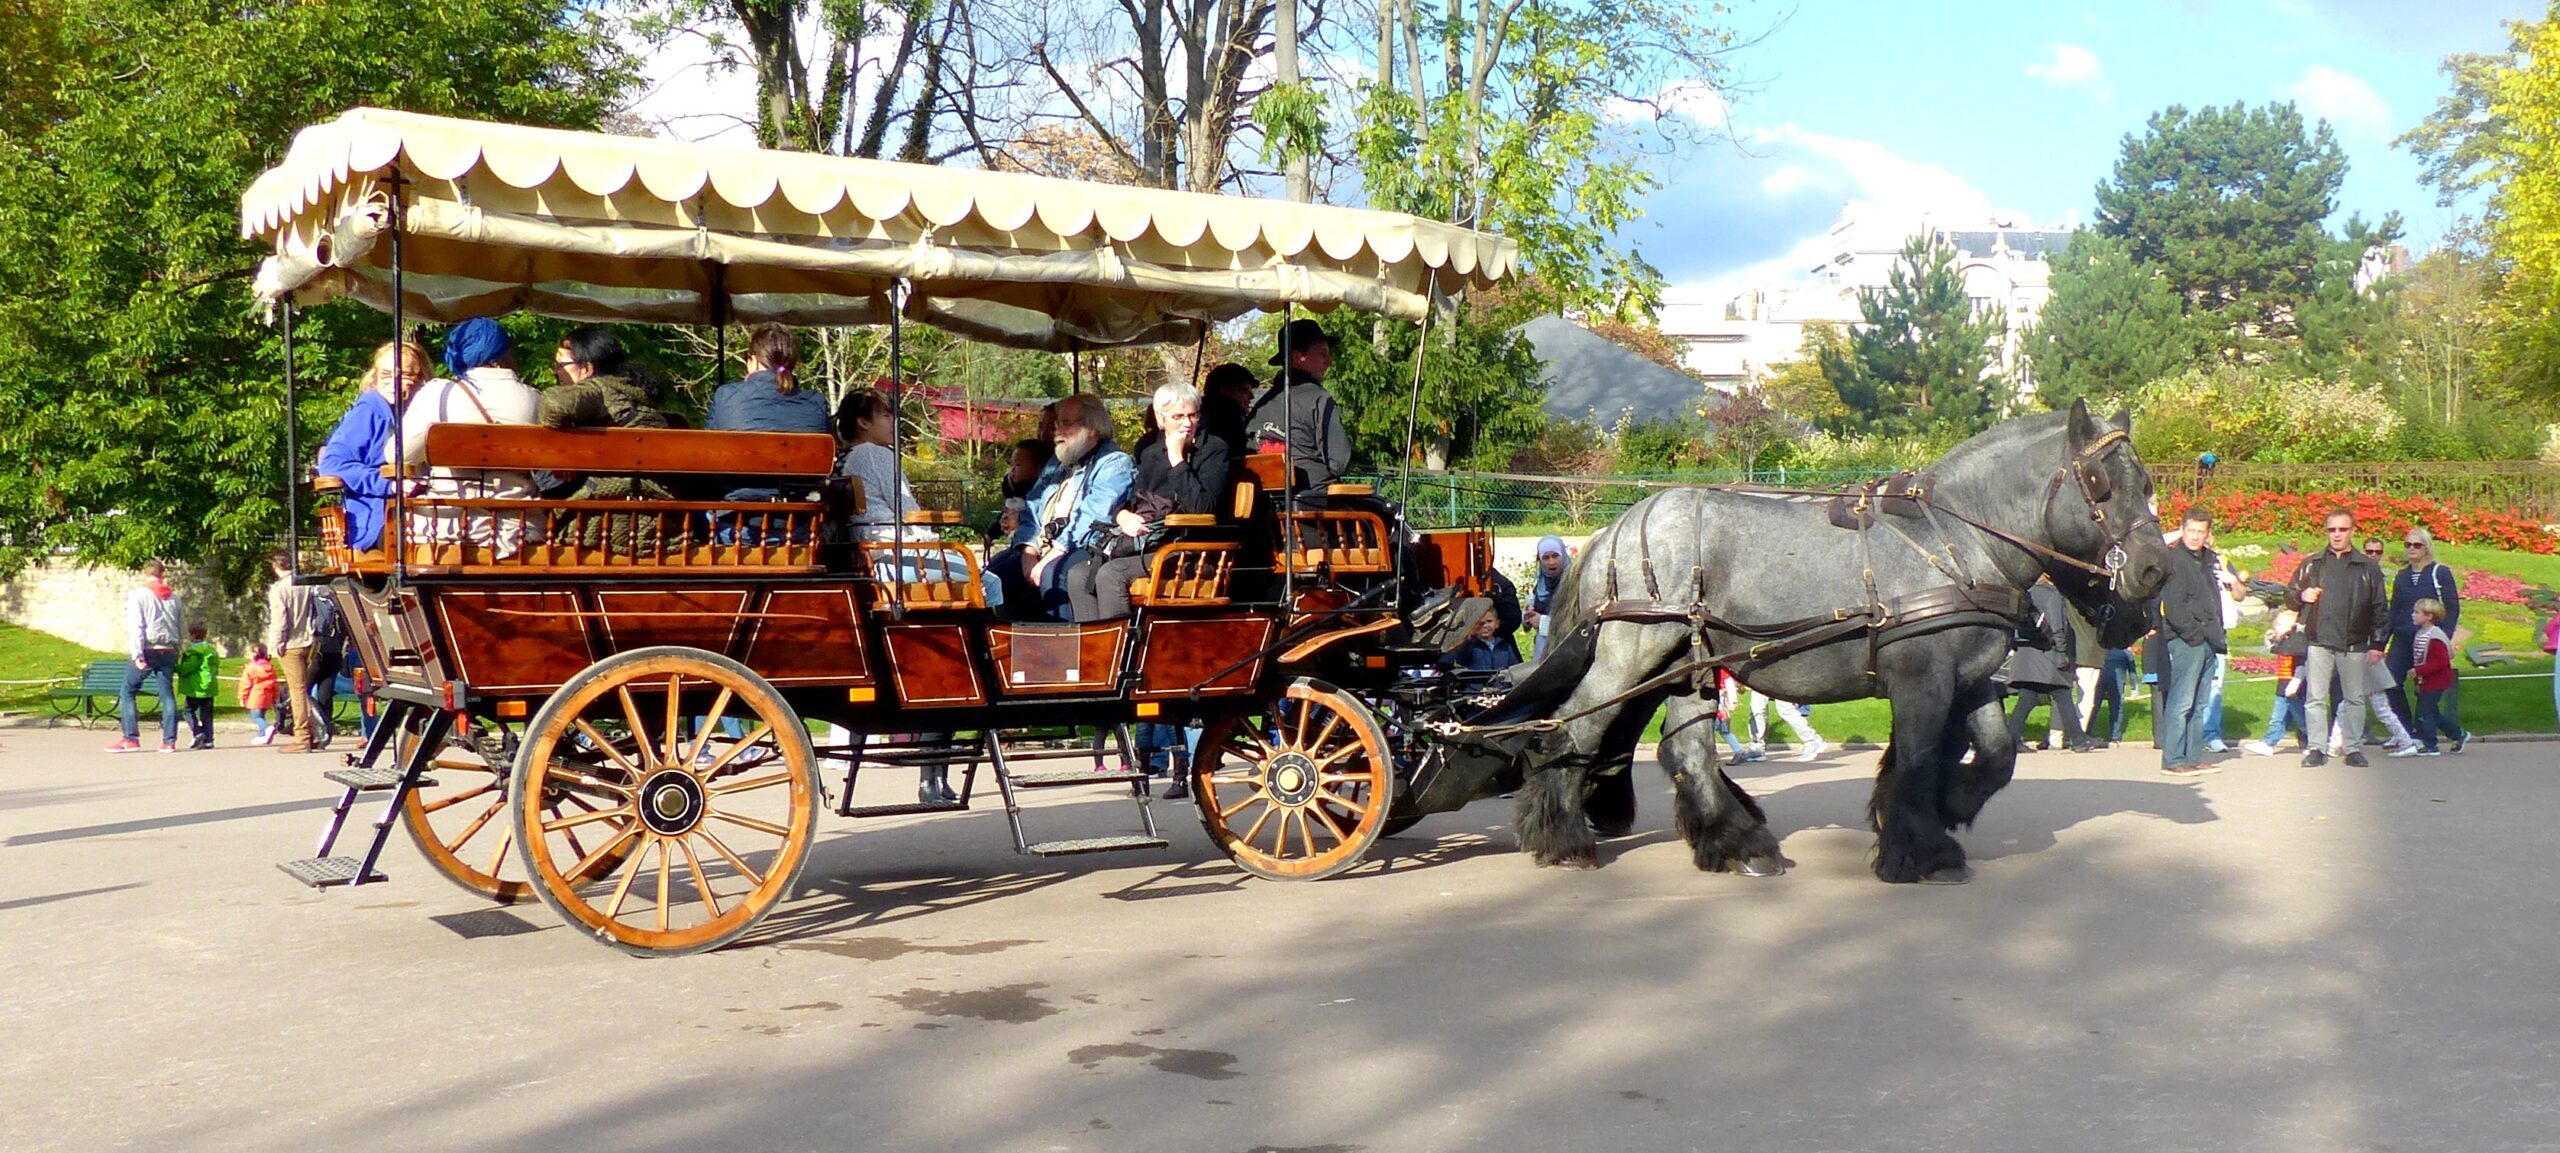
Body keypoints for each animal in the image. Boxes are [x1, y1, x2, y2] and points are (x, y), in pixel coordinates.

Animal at [1495, 399, 2170, 881]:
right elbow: (1919, 759)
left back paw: (1739, 845)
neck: (1959, 538)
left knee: (1686, 750)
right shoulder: (1921, 680)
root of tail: (1617, 525)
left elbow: (1996, 754)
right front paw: (1915, 850)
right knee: (1575, 726)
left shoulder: (1972, 678)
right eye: (2098, 481)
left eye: (2146, 482)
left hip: (1691, 660)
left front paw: (1949, 809)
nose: (2153, 569)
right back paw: (1563, 839)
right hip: (1632, 652)